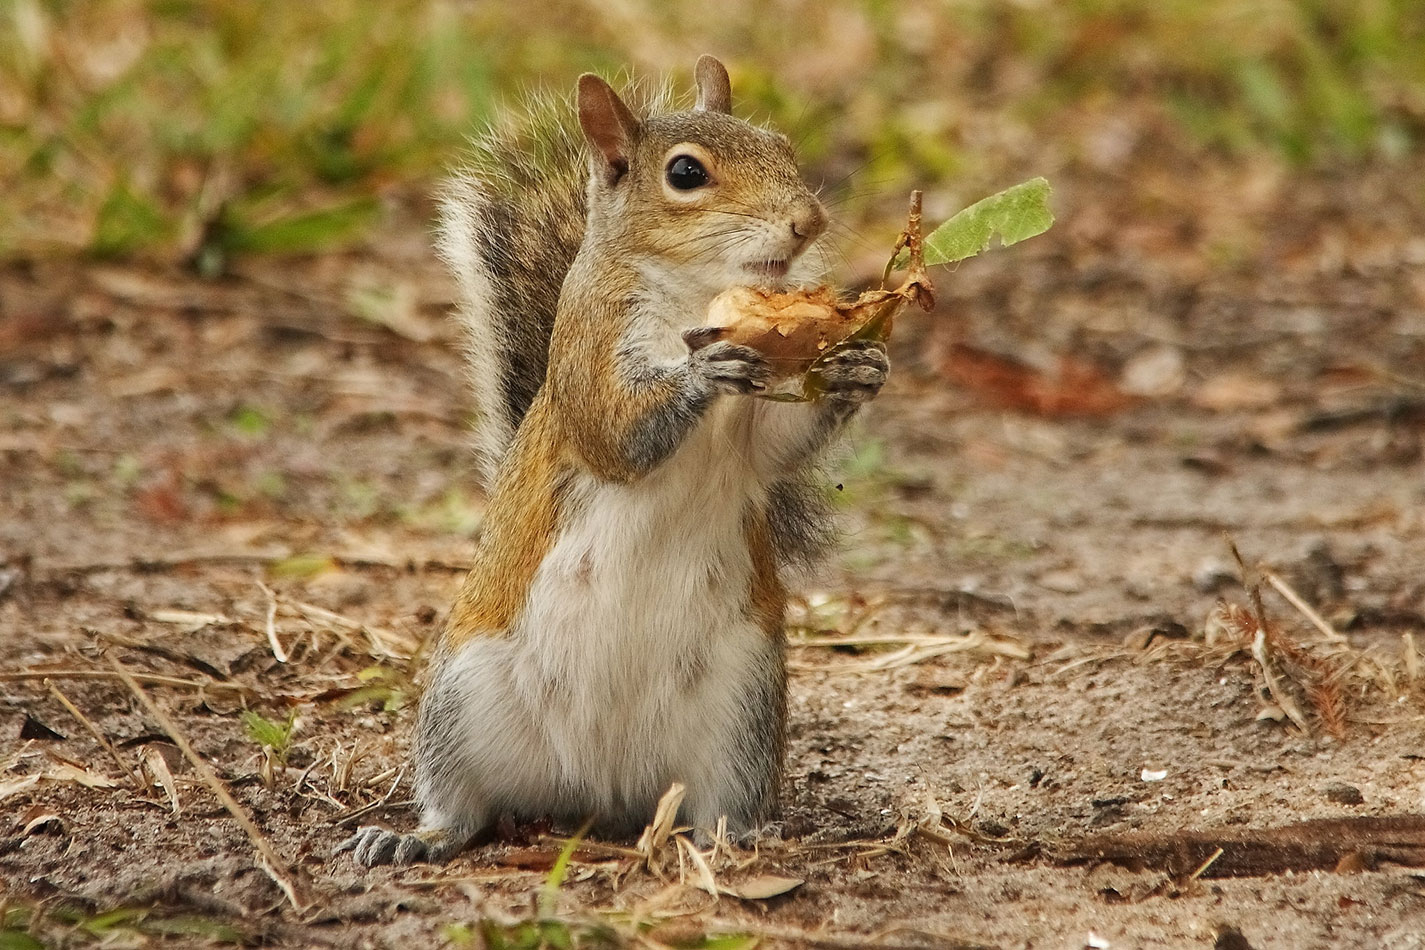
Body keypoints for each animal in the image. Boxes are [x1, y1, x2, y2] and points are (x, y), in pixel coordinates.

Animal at [337, 55, 883, 865]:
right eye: (685, 173)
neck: (696, 297)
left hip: (743, 711)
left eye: (782, 146)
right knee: (463, 808)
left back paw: (741, 841)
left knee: (718, 805)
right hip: (464, 697)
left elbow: (774, 449)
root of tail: (601, 791)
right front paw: (701, 372)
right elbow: (615, 434)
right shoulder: (590, 352)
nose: (806, 222)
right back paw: (415, 837)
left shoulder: (758, 425)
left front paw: (856, 367)